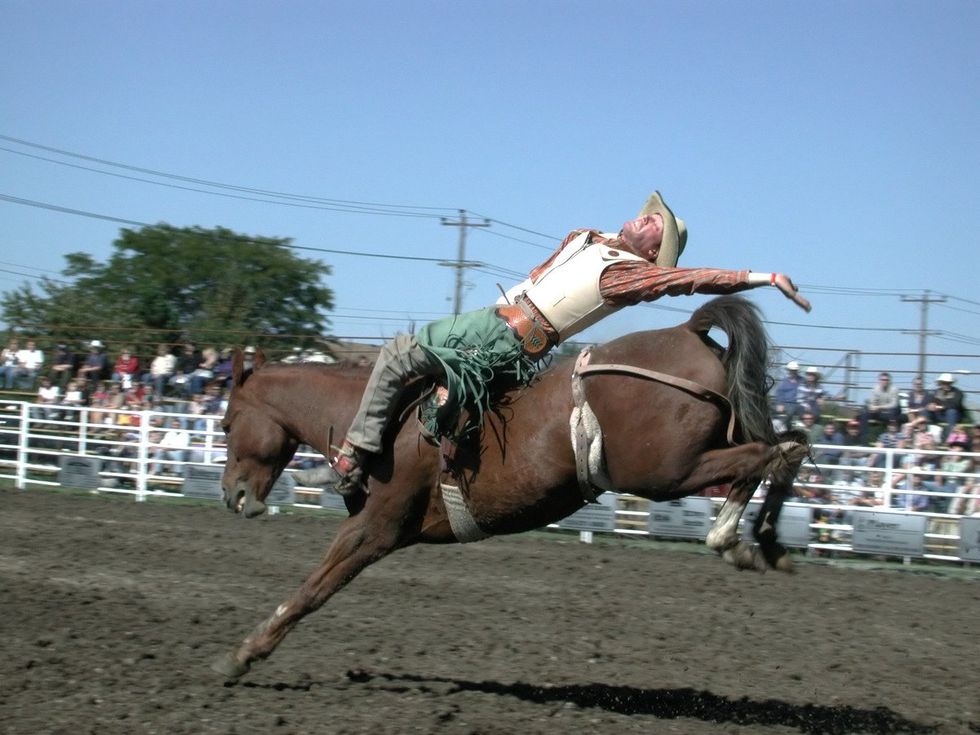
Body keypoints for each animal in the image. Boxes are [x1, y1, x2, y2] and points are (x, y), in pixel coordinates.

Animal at [212, 295, 809, 681]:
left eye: (226, 423)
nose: (232, 494)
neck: (385, 424)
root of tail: (688, 331)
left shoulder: (375, 529)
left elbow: (313, 588)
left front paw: (244, 653)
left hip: (665, 471)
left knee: (769, 455)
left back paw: (734, 541)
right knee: (791, 445)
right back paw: (767, 543)